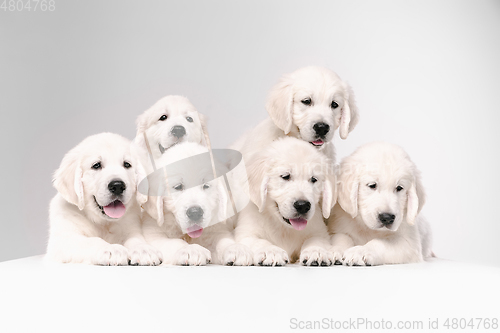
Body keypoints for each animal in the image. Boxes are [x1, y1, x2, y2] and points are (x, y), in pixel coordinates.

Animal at [46, 132, 161, 264]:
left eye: (127, 164)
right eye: (96, 165)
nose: (118, 186)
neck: (103, 223)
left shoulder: (131, 226)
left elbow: (134, 238)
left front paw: (144, 249)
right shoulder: (62, 241)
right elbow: (92, 240)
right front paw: (111, 249)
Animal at [234, 136, 336, 266]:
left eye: (314, 179)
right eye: (285, 176)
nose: (303, 206)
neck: (284, 228)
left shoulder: (320, 232)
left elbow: (315, 240)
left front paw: (316, 251)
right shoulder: (245, 233)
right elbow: (260, 241)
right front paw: (271, 251)